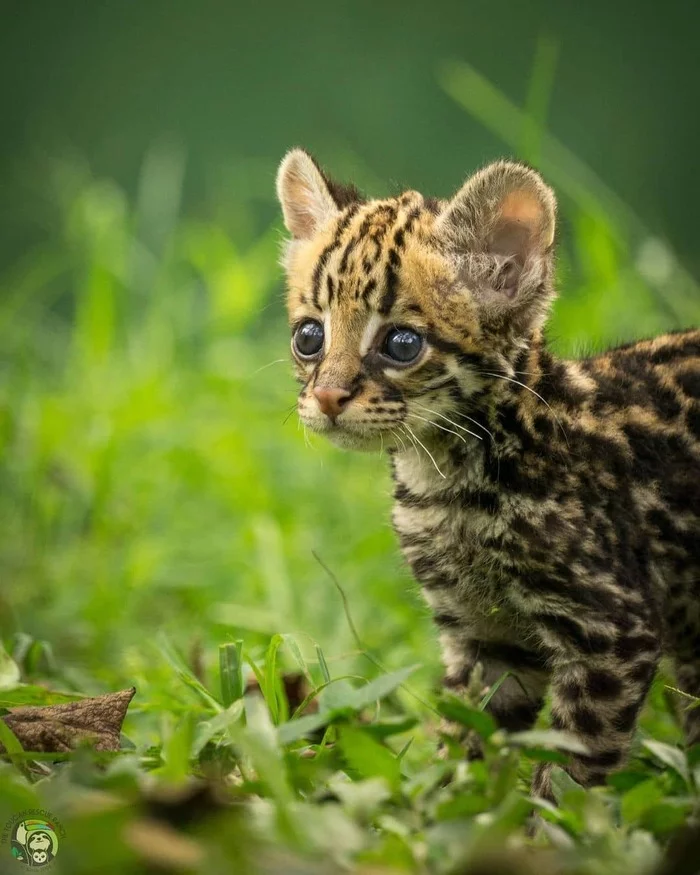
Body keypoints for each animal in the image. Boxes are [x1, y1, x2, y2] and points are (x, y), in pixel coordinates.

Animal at [274, 151, 700, 800]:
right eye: (309, 336)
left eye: (402, 343)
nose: (325, 397)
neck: (445, 483)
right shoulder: (484, 636)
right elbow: (467, 738)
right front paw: (444, 808)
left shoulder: (611, 632)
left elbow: (571, 772)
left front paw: (544, 821)